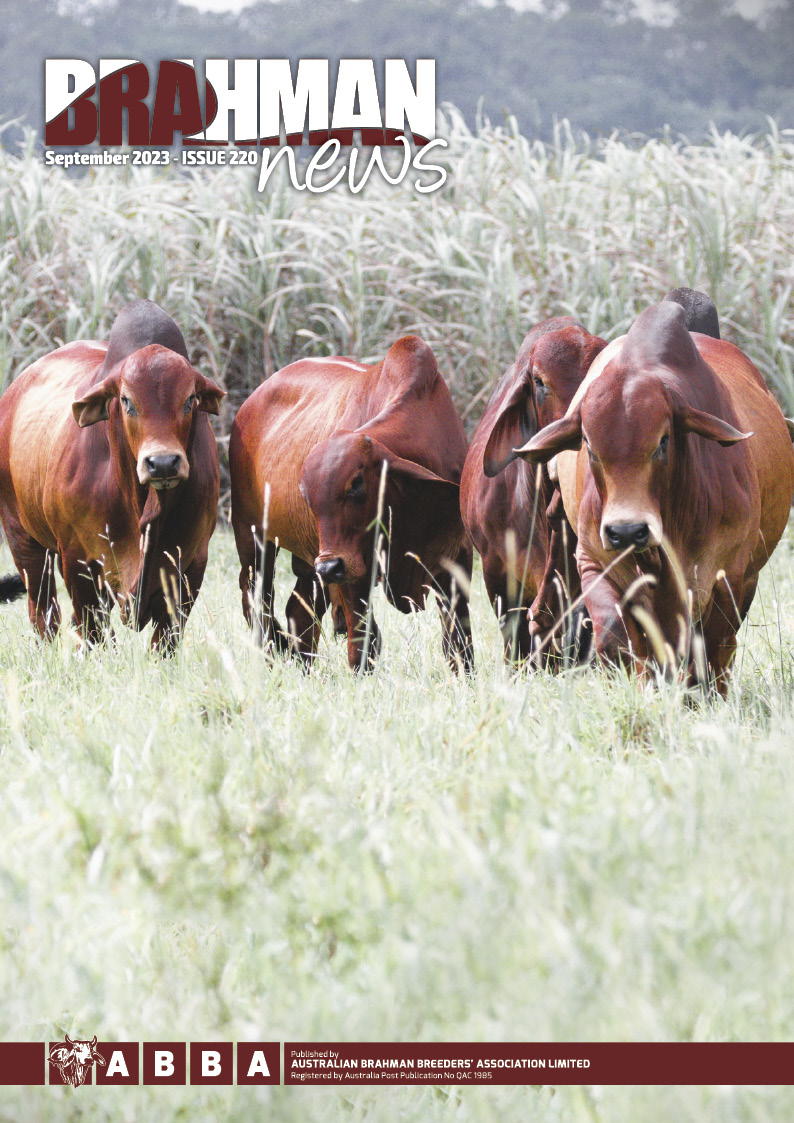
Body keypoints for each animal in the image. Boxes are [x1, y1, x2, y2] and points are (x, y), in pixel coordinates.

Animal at [0, 298, 223, 651]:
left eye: (190, 399)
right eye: (126, 400)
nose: (162, 463)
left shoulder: (191, 564)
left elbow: (165, 639)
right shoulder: (78, 562)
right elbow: (93, 631)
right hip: (22, 539)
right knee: (44, 612)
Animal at [232, 332, 476, 664]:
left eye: (357, 483)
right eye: (306, 494)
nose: (329, 567)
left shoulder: (457, 560)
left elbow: (459, 645)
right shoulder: (352, 573)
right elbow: (363, 644)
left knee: (298, 612)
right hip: (254, 538)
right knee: (257, 603)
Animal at [516, 303, 794, 696]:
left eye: (663, 441)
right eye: (589, 447)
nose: (626, 532)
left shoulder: (729, 574)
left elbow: (713, 649)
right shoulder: (594, 560)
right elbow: (617, 637)